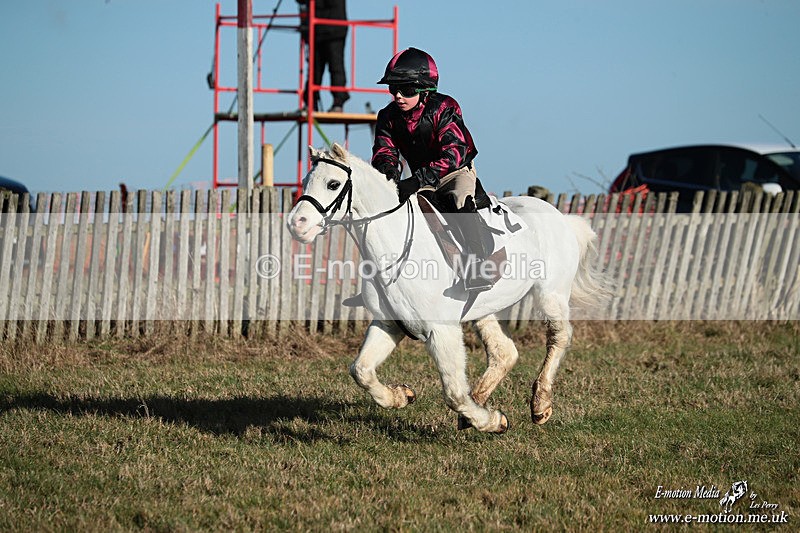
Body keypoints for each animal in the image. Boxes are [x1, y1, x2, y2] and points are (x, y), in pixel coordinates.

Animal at [287, 143, 609, 433]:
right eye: (304, 182)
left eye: (333, 184)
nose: (296, 224)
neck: (396, 246)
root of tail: (560, 216)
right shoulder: (388, 324)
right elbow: (361, 371)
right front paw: (401, 396)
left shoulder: (442, 330)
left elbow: (453, 393)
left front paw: (493, 422)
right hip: (486, 309)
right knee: (504, 352)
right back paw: (477, 404)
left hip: (550, 294)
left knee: (559, 337)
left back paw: (539, 404)